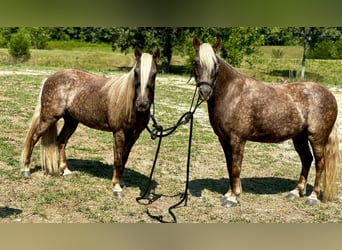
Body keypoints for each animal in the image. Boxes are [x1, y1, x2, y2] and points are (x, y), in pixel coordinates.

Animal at [21, 47, 160, 197]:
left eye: (154, 73)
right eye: (136, 72)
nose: (142, 104)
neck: (127, 102)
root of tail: (49, 78)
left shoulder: (134, 136)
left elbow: (124, 159)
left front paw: (120, 182)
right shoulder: (119, 133)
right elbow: (117, 160)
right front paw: (116, 188)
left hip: (71, 122)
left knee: (61, 141)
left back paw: (66, 171)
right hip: (49, 118)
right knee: (34, 138)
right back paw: (26, 170)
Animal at [191, 35, 338, 207]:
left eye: (215, 64)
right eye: (195, 62)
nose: (205, 92)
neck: (232, 94)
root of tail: (330, 95)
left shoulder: (237, 139)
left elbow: (236, 168)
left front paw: (234, 197)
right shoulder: (223, 139)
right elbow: (229, 166)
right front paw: (229, 193)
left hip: (317, 138)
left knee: (320, 163)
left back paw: (313, 197)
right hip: (299, 137)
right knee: (307, 159)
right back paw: (295, 192)